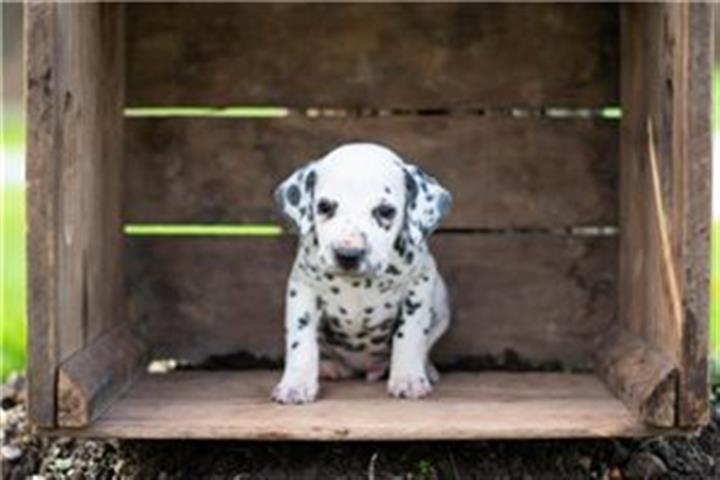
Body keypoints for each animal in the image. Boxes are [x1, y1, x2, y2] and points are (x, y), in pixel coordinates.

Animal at [270, 143, 450, 404]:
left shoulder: (419, 283)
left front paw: (408, 378)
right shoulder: (303, 287)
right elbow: (300, 341)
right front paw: (295, 384)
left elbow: (410, 334)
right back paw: (329, 368)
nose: (348, 254)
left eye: (385, 211)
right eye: (324, 206)